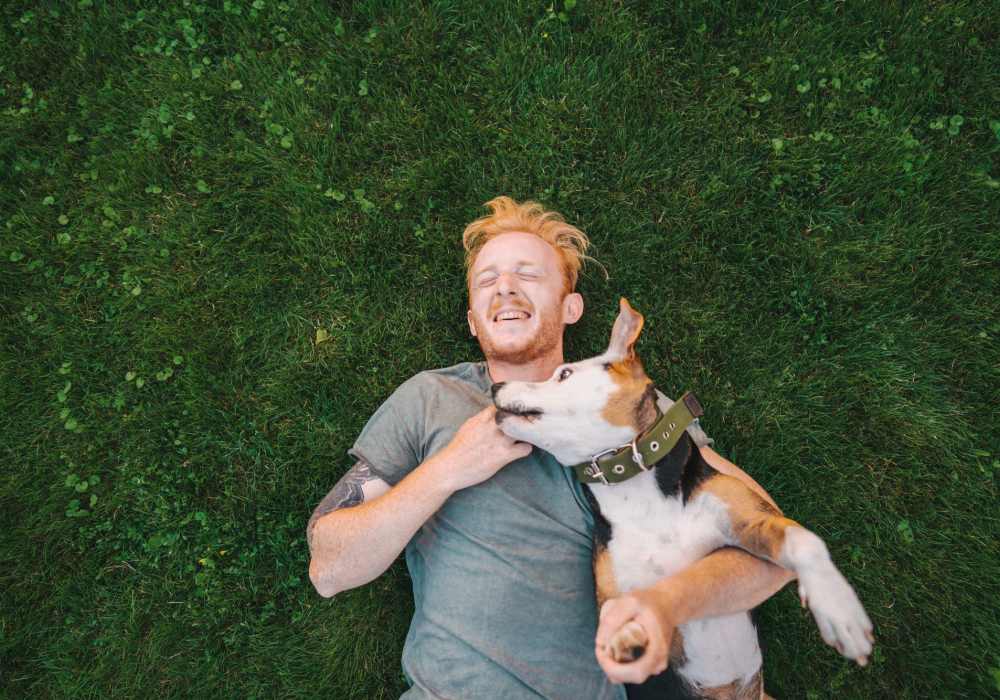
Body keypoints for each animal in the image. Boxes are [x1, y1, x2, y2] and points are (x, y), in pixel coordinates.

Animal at [492, 298, 876, 696]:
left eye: (564, 374)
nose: (496, 385)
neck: (635, 488)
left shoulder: (750, 519)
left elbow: (804, 541)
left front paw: (839, 610)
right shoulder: (613, 599)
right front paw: (626, 638)